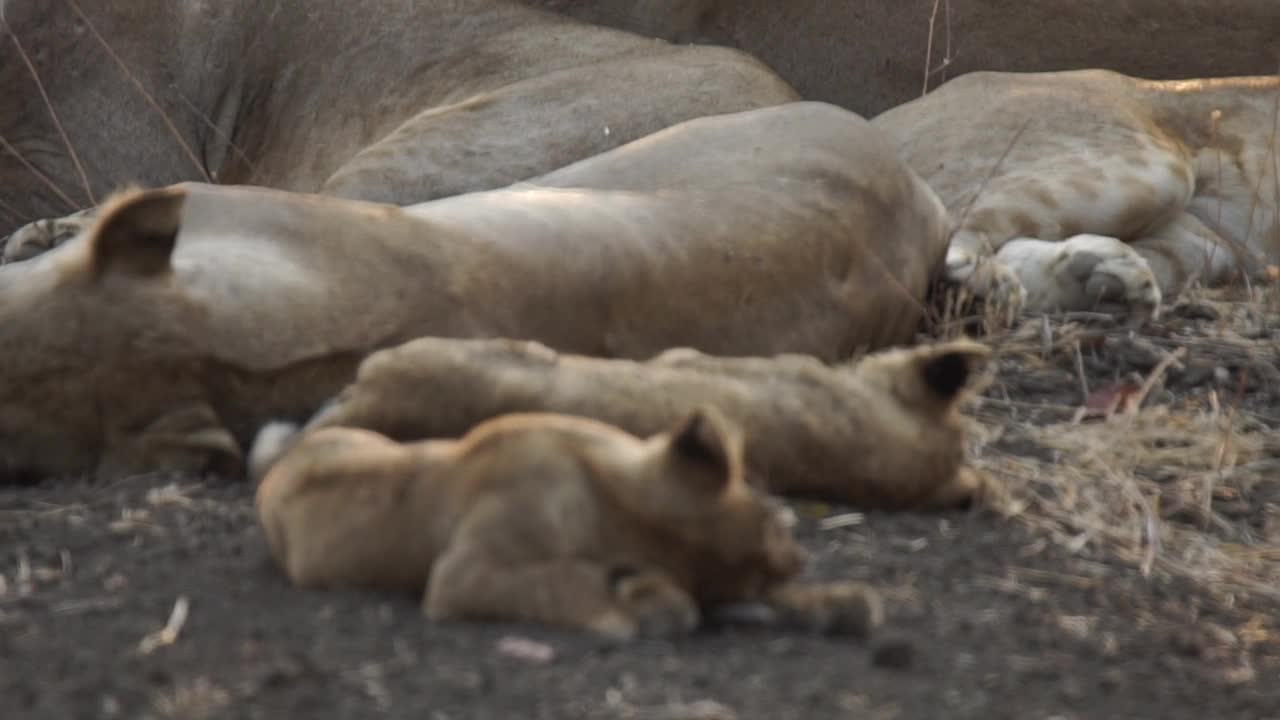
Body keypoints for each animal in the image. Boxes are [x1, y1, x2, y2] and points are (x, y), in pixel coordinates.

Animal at [252, 404, 890, 638]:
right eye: (780, 523)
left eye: (766, 573)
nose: (802, 557)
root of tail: (280, 466)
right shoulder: (465, 574)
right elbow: (559, 580)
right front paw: (645, 607)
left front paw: (839, 601)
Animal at [870, 69, 1280, 322]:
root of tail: (878, 123)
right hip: (1149, 166)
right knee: (949, 232)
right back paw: (988, 286)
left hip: (1208, 244)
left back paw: (1103, 273)